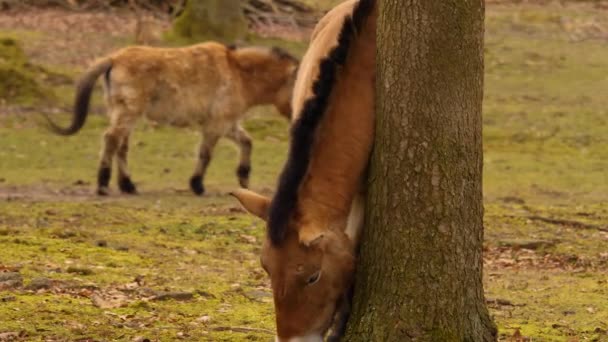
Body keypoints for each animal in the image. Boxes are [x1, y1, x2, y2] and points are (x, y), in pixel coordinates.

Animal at [44, 42, 296, 195]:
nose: (296, 117)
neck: (238, 73)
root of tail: (114, 58)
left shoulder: (228, 125)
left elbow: (247, 142)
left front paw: (243, 179)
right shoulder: (216, 125)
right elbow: (205, 154)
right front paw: (197, 185)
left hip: (125, 115)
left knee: (121, 147)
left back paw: (127, 185)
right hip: (127, 114)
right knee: (111, 141)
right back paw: (104, 185)